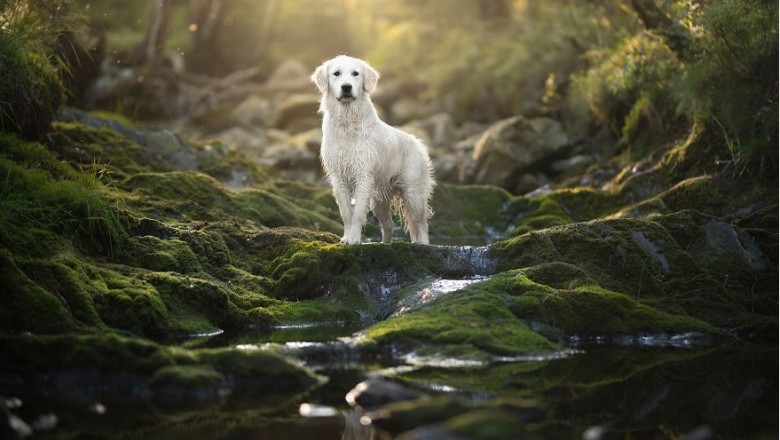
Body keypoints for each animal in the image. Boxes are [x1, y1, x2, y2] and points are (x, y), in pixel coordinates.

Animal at [310, 55, 436, 244]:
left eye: (355, 73)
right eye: (336, 73)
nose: (346, 87)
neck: (348, 122)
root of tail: (418, 143)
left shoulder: (363, 175)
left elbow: (357, 213)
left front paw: (354, 239)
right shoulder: (338, 177)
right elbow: (346, 213)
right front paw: (346, 237)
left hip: (413, 192)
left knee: (421, 224)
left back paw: (423, 245)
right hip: (379, 200)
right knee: (389, 224)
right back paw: (385, 243)